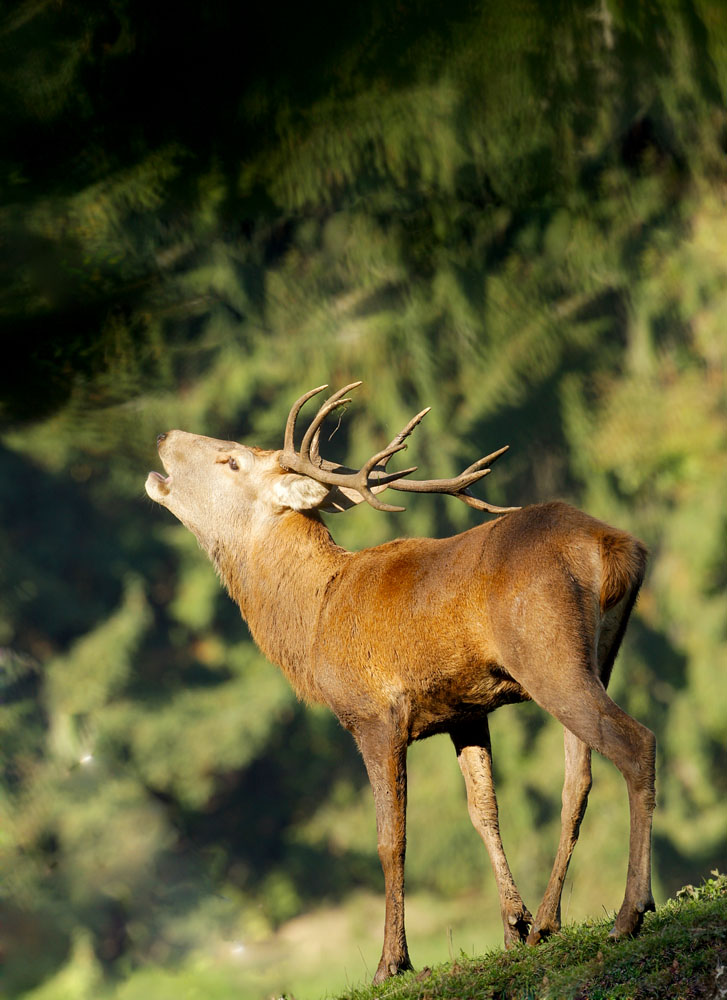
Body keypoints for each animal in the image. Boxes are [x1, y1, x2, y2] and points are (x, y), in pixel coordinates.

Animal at [145, 381, 656, 983]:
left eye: (233, 460)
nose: (163, 435)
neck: (314, 620)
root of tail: (615, 545)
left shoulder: (374, 715)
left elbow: (392, 839)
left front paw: (392, 960)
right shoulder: (466, 709)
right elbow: (484, 812)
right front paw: (515, 926)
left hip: (548, 654)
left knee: (636, 743)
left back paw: (630, 913)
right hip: (595, 658)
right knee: (577, 781)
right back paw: (551, 922)